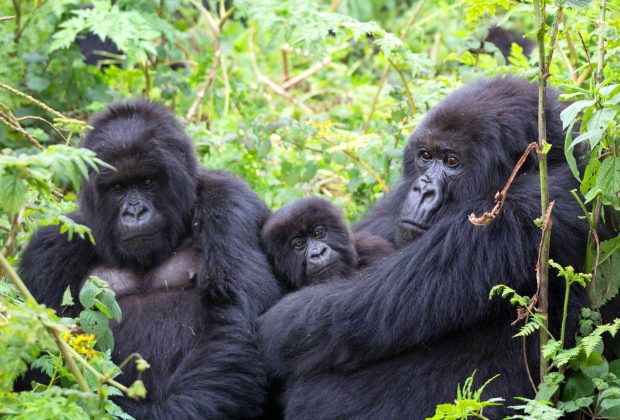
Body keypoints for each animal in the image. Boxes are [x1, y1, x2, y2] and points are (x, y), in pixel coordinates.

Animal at [18, 100, 280, 418]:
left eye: (147, 181)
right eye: (117, 188)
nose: (134, 212)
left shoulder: (230, 204)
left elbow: (235, 317)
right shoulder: (49, 249)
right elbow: (40, 359)